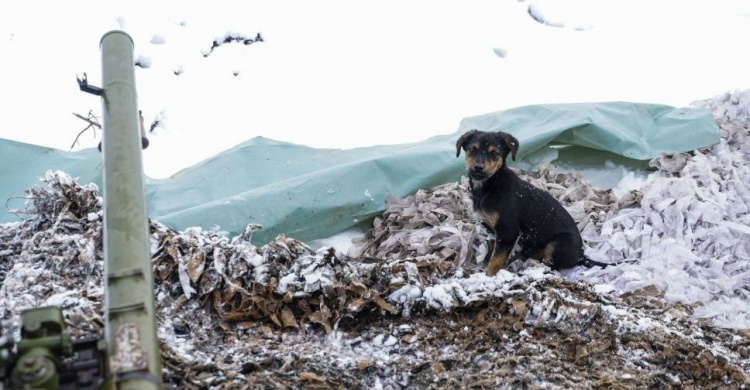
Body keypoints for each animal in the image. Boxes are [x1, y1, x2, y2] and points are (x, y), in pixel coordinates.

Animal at [458, 129, 592, 276]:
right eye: (472, 149)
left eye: (494, 153)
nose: (478, 167)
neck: (493, 184)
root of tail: (580, 256)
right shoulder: (493, 228)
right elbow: (494, 252)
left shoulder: (508, 231)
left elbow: (496, 260)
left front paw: (490, 276)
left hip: (559, 243)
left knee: (550, 265)